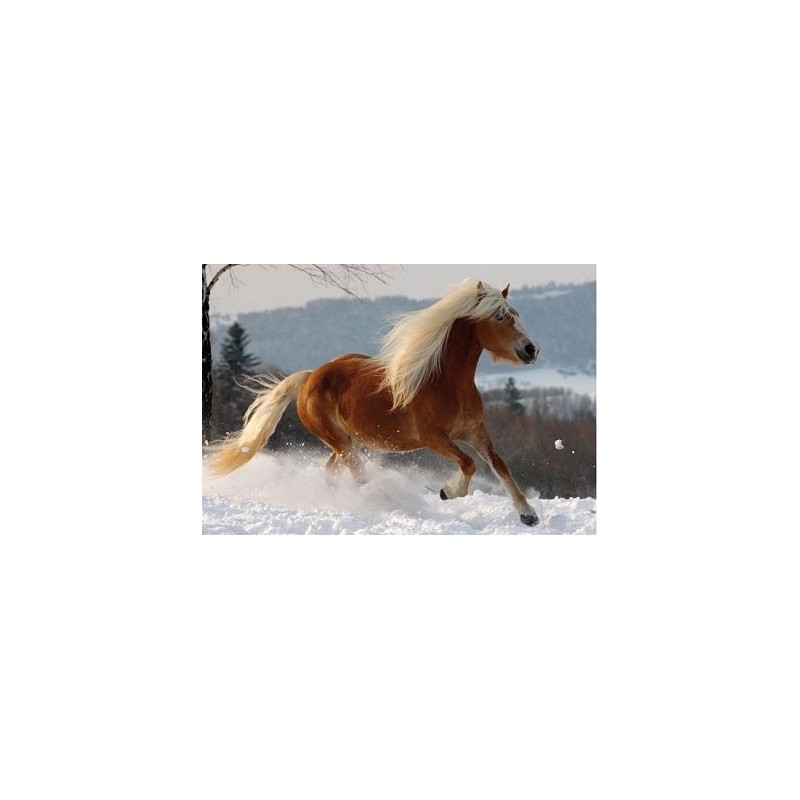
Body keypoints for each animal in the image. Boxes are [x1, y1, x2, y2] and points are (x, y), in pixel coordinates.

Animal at [206, 279, 541, 526]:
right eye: (499, 317)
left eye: (516, 315)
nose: (530, 349)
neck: (445, 382)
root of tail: (311, 376)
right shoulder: (433, 438)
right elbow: (469, 463)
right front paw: (447, 491)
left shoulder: (475, 432)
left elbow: (499, 465)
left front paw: (528, 515)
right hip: (341, 442)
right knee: (358, 475)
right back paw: (385, 503)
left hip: (345, 442)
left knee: (332, 471)